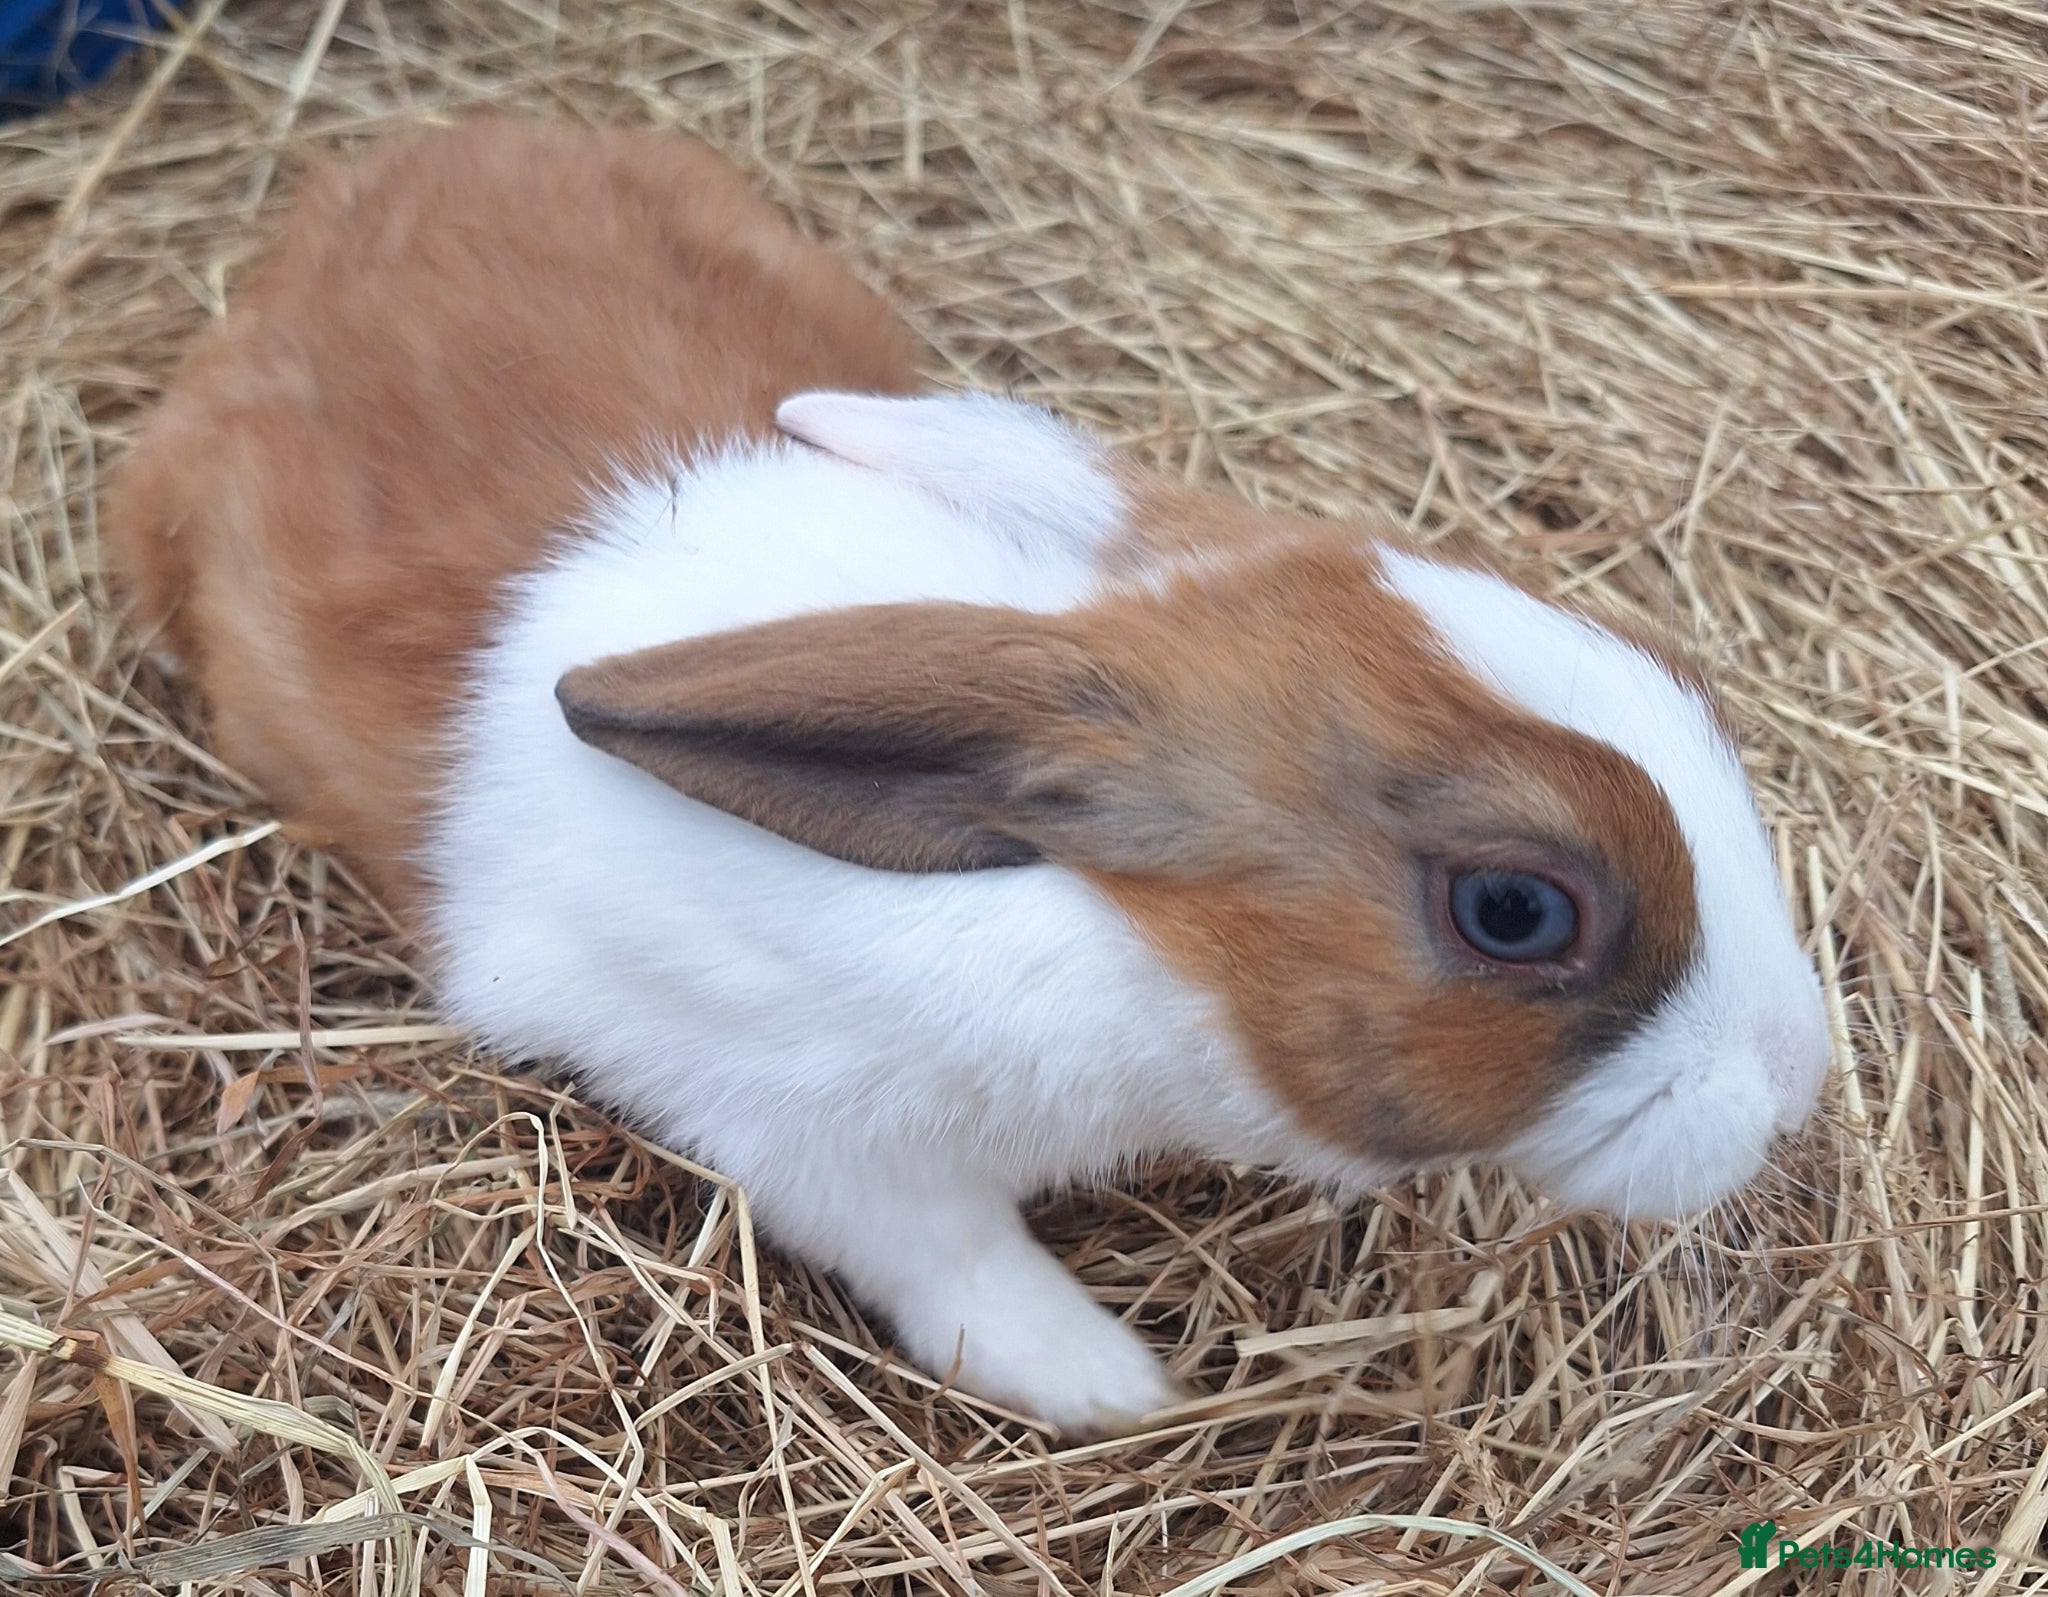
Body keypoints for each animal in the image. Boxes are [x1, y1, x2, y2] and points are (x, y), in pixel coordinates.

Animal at [106, 117, 1832, 1436]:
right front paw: (1115, 1387)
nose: (1799, 1073)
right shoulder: (804, 1131)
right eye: (1515, 912)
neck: (1109, 932)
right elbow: (954, 1263)